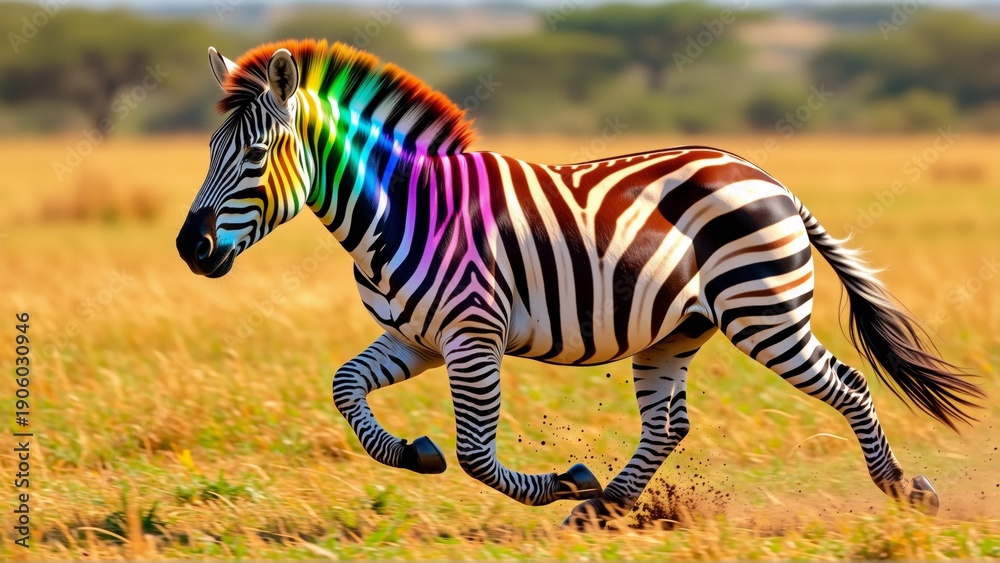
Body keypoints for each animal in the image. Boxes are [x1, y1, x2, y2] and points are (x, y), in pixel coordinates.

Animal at [176, 40, 982, 527]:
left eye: (254, 155)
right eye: (210, 148)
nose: (190, 246)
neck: (403, 208)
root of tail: (766, 176)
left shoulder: (473, 334)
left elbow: (476, 452)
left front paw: (558, 480)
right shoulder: (416, 336)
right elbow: (347, 389)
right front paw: (415, 453)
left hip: (765, 314)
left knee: (848, 385)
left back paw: (905, 489)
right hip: (675, 329)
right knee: (668, 423)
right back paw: (606, 508)